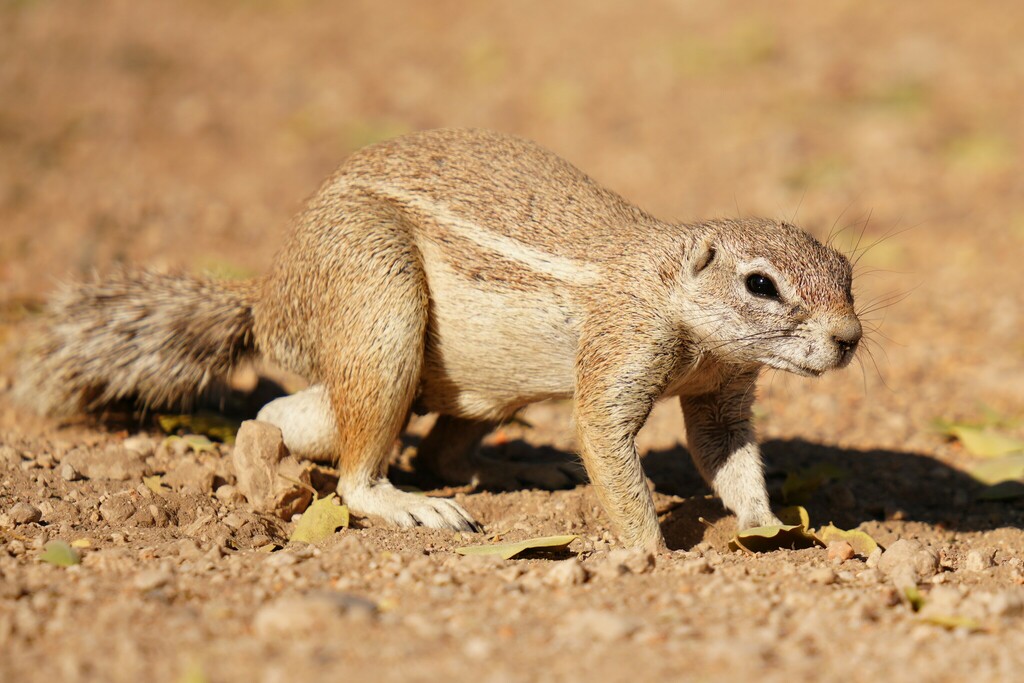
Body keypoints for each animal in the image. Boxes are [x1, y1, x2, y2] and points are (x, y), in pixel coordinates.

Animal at [17, 128, 862, 550]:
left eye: (848, 274)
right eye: (761, 285)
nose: (850, 338)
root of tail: (270, 297)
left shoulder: (724, 392)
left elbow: (729, 455)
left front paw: (764, 524)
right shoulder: (624, 344)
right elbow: (608, 440)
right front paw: (648, 552)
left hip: (477, 384)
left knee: (430, 447)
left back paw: (527, 465)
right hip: (378, 312)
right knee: (320, 442)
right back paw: (341, 491)